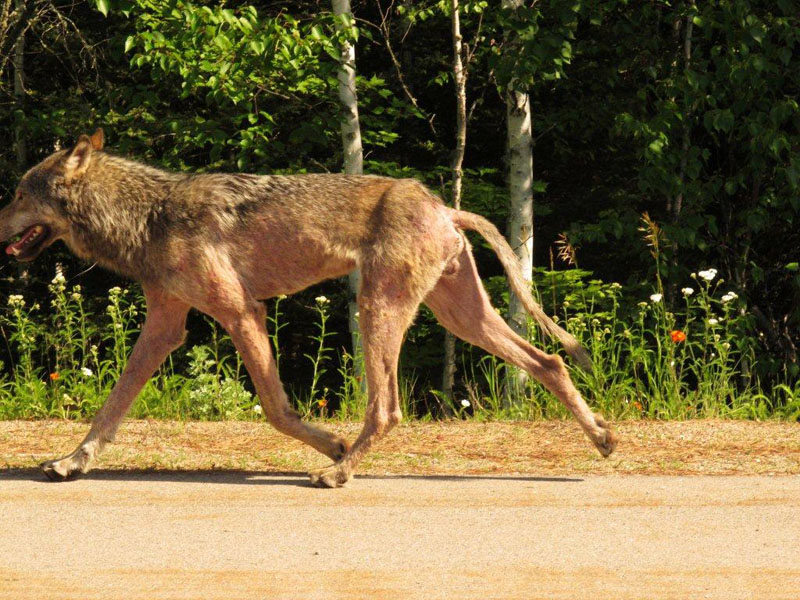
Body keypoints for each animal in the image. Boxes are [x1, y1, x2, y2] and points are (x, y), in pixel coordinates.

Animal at [0, 129, 617, 487]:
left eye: (20, 194)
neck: (146, 216)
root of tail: (444, 207)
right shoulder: (164, 327)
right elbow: (110, 408)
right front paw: (72, 462)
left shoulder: (240, 313)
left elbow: (277, 410)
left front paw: (331, 443)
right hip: (459, 318)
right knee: (549, 362)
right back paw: (604, 438)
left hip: (379, 311)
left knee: (389, 408)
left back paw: (339, 470)